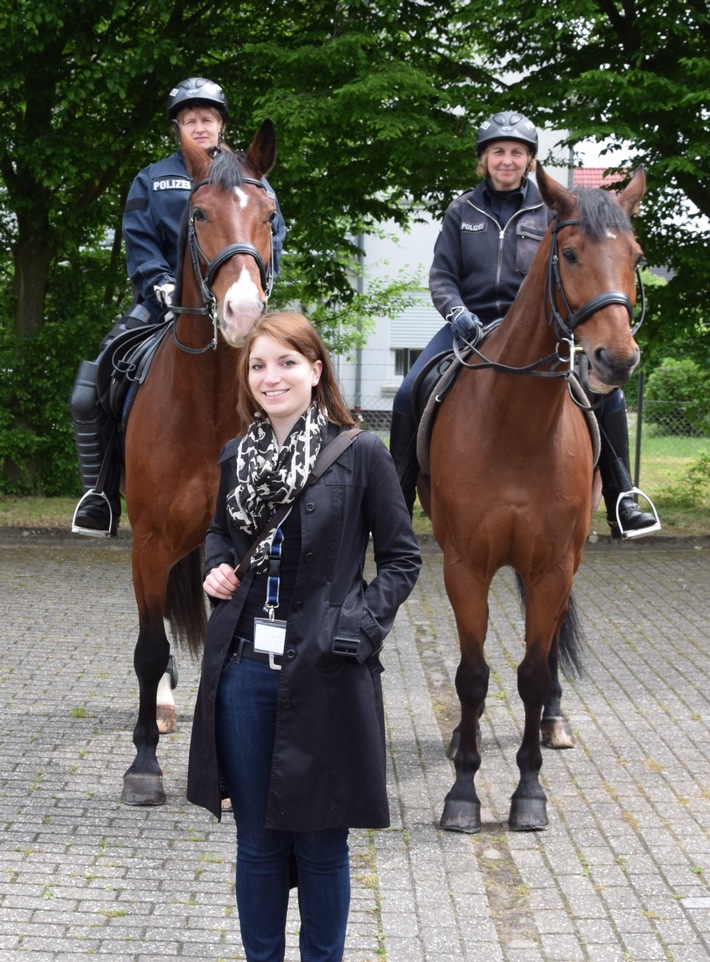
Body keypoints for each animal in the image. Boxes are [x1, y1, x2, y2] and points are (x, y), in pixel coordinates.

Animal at [420, 165, 648, 832]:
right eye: (569, 254)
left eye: (636, 257)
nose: (616, 359)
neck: (517, 424)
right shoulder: (465, 567)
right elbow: (472, 677)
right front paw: (463, 791)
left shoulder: (552, 566)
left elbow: (532, 673)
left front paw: (528, 793)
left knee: (544, 663)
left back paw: (554, 721)